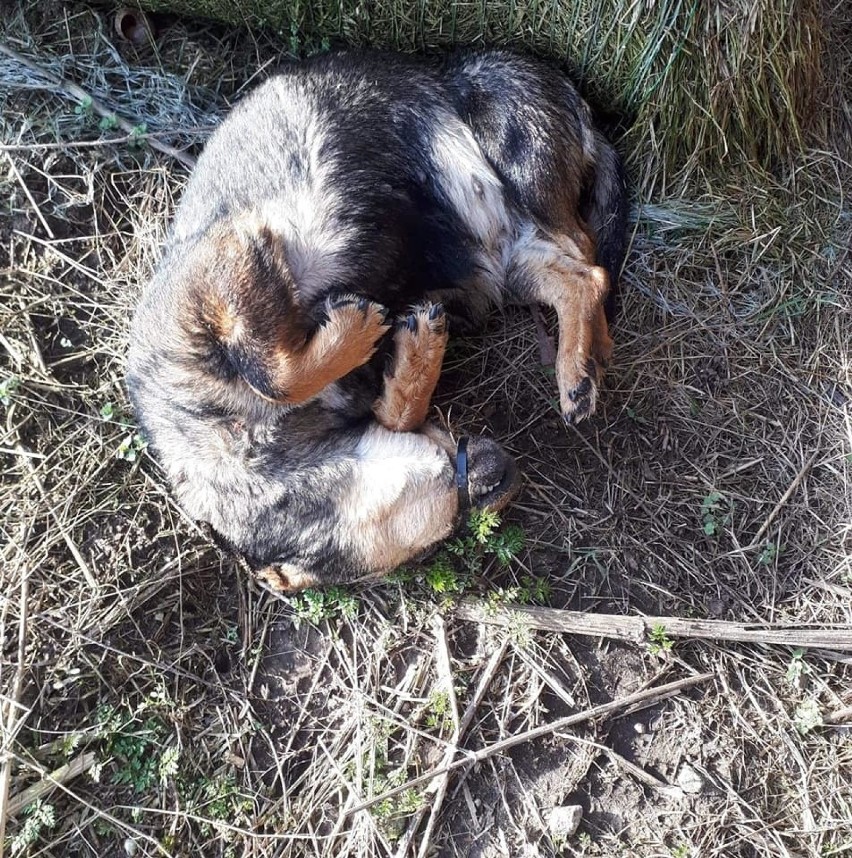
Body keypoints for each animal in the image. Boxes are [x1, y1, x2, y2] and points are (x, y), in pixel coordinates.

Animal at [126, 50, 624, 592]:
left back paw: (579, 368)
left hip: (513, 150)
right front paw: (413, 356)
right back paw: (585, 363)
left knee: (587, 256)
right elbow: (390, 407)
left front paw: (358, 329)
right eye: (437, 544)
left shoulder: (222, 266)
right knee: (583, 278)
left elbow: (273, 373)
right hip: (514, 261)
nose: (508, 482)